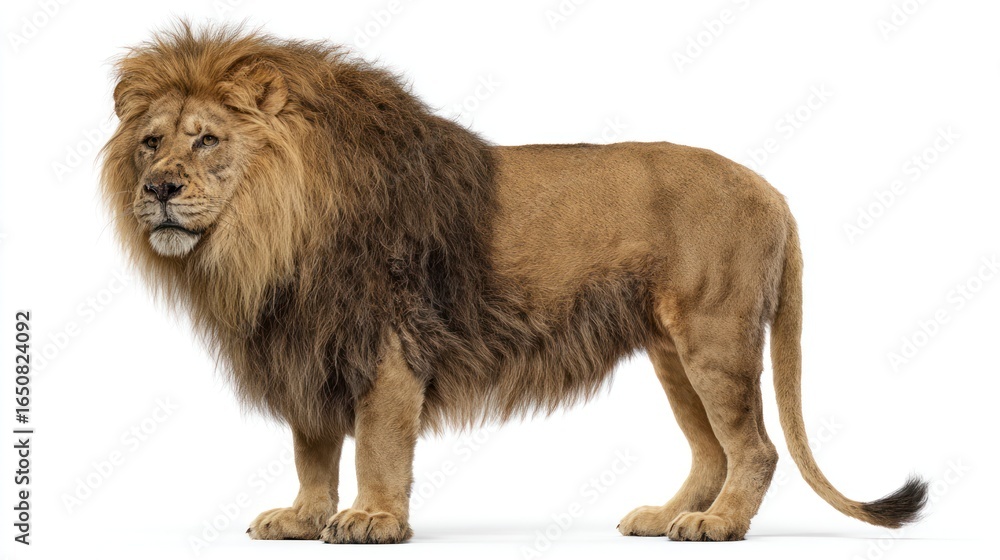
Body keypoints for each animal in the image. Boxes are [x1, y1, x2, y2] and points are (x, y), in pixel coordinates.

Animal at [100, 23, 927, 544]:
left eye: (207, 140)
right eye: (150, 142)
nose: (159, 189)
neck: (266, 238)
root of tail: (771, 188)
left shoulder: (388, 346)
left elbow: (376, 446)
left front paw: (371, 521)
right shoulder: (309, 345)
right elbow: (312, 449)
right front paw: (303, 518)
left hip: (714, 338)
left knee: (753, 447)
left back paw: (718, 525)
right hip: (672, 352)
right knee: (714, 451)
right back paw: (667, 516)